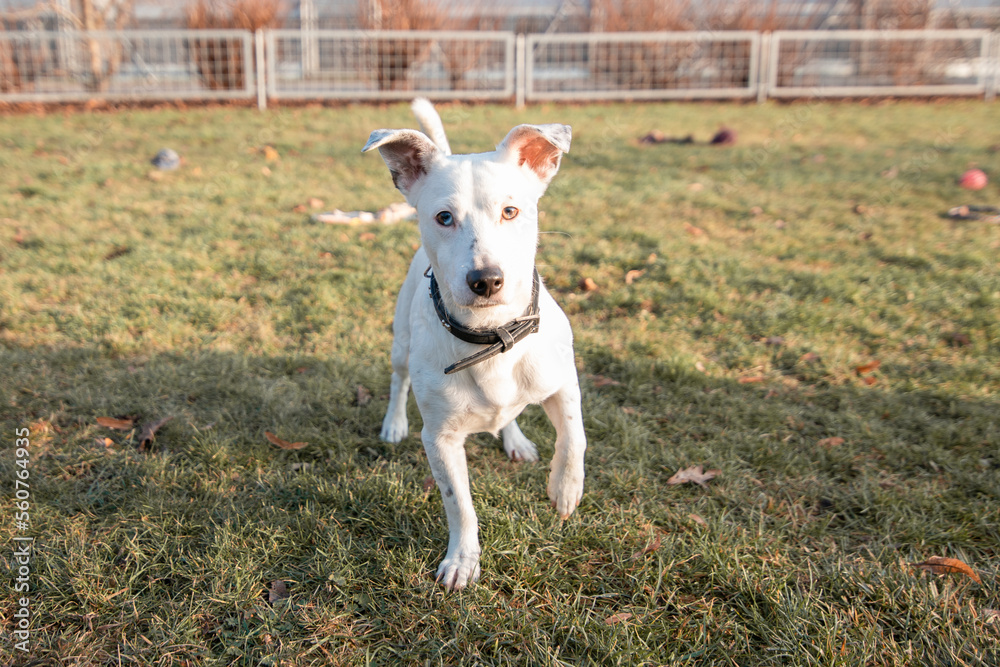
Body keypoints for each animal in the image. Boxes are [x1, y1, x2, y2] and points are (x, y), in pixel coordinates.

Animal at [366, 99, 584, 588]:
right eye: (444, 218)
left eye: (511, 211)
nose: (486, 280)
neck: (492, 334)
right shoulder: (440, 439)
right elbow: (459, 505)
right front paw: (462, 560)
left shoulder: (564, 382)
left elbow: (574, 437)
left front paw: (565, 489)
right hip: (400, 346)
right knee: (397, 381)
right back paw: (393, 423)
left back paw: (515, 439)